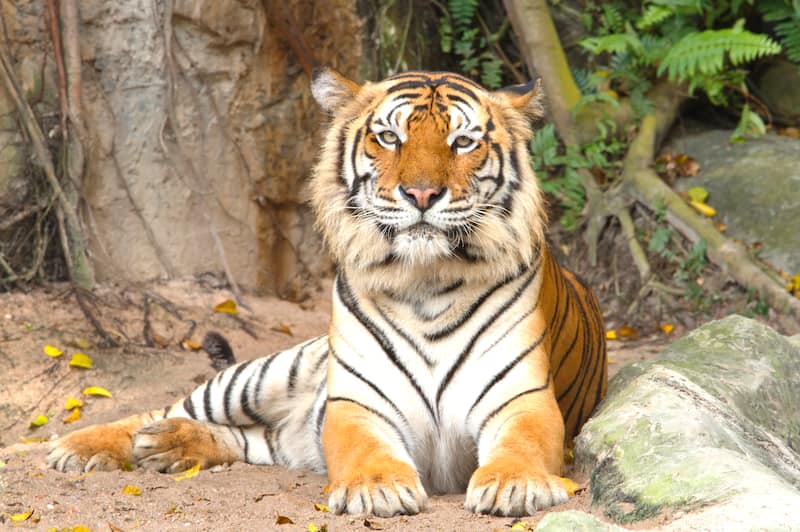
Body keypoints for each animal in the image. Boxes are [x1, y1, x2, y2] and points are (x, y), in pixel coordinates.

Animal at [47, 69, 607, 518]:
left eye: (463, 142)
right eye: (389, 137)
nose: (422, 194)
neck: (426, 280)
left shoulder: (522, 399)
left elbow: (522, 444)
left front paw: (515, 485)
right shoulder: (357, 403)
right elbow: (364, 451)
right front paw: (377, 489)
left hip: (278, 428)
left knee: (243, 437)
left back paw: (168, 447)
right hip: (264, 375)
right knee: (164, 407)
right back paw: (77, 446)